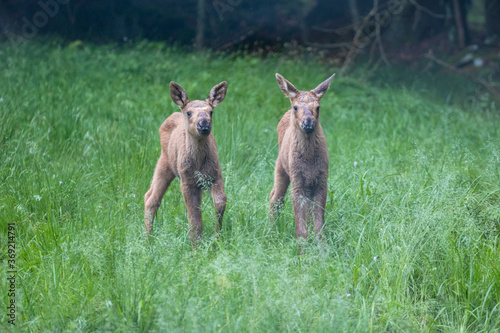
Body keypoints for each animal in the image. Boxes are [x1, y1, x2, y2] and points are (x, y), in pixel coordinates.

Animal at [145, 80, 229, 245]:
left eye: (211, 111)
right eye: (189, 113)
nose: (203, 124)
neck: (199, 162)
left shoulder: (215, 175)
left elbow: (220, 201)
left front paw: (217, 239)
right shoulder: (186, 181)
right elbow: (194, 215)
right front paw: (196, 244)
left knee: (148, 195)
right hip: (165, 163)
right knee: (152, 199)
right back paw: (148, 240)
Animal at [270, 72, 336, 239]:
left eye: (318, 107)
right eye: (295, 107)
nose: (308, 123)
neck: (309, 161)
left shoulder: (322, 180)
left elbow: (318, 225)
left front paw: (321, 245)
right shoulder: (297, 182)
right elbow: (301, 227)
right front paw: (302, 245)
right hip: (281, 168)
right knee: (275, 198)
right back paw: (271, 232)